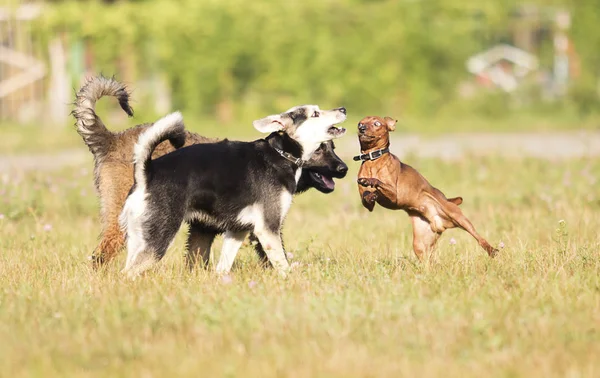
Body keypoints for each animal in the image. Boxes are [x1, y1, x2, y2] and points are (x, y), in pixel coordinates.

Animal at [119, 105, 344, 276]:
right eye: (315, 113)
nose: (343, 109)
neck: (281, 154)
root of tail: (147, 172)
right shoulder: (267, 229)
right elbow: (282, 265)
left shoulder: (237, 230)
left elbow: (223, 267)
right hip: (160, 236)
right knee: (128, 273)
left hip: (138, 238)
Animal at [356, 116, 496, 260]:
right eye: (360, 123)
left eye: (377, 123)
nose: (361, 128)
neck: (372, 161)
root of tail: (438, 222)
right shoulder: (368, 205)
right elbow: (367, 196)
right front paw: (370, 192)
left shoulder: (394, 194)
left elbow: (378, 183)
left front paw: (370, 182)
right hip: (420, 244)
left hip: (459, 218)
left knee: (478, 237)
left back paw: (491, 250)